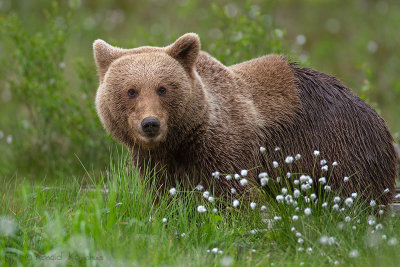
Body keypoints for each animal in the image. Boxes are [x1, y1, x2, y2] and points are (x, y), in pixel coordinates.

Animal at [94, 32, 396, 206]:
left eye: (163, 88)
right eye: (131, 90)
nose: (150, 123)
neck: (183, 139)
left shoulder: (224, 147)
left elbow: (231, 195)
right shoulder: (155, 161)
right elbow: (164, 194)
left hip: (341, 148)